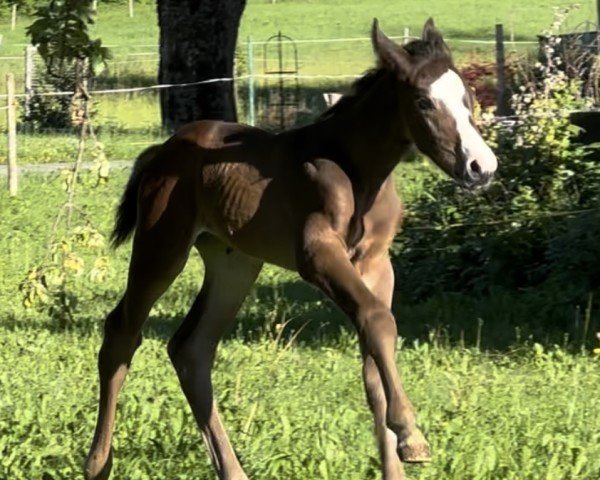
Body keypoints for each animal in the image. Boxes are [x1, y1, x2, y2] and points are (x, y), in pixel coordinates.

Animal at [84, 18, 496, 480]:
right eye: (424, 102)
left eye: (468, 96)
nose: (481, 168)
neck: (358, 172)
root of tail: (162, 151)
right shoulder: (316, 254)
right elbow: (377, 319)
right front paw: (411, 435)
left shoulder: (376, 264)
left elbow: (374, 353)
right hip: (162, 245)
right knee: (122, 332)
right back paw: (97, 463)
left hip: (234, 264)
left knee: (192, 348)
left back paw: (233, 471)